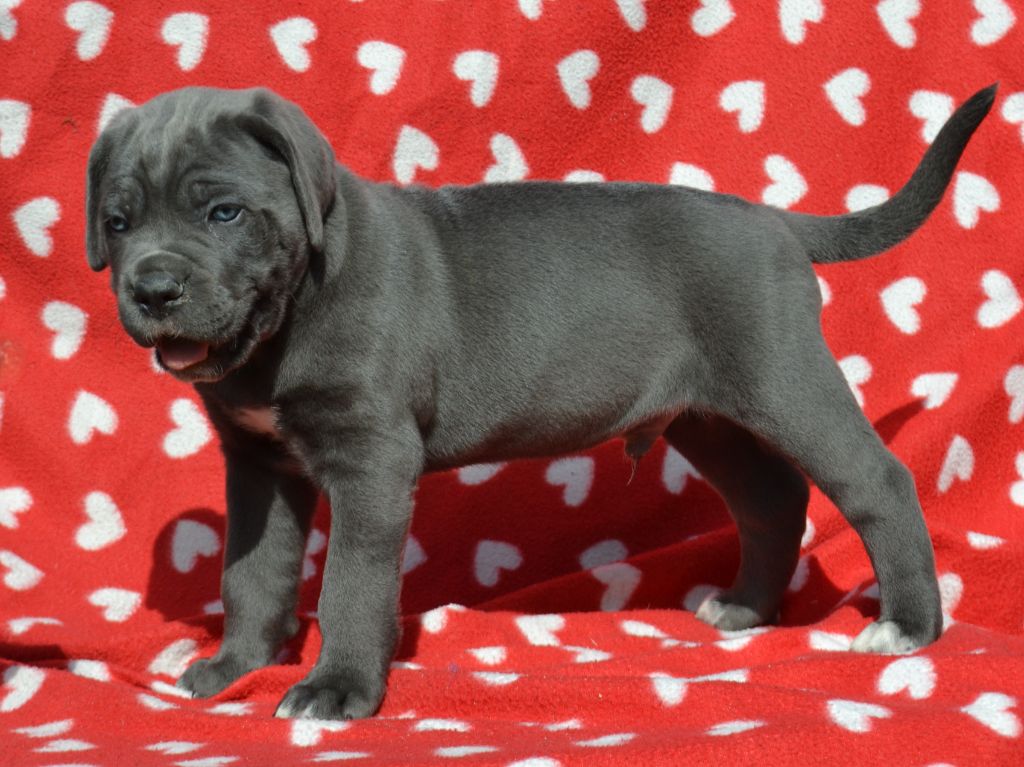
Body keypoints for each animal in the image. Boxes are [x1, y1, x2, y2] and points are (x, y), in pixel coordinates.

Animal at [85, 83, 996, 719]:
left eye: (224, 212)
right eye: (119, 221)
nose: (154, 289)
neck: (295, 305)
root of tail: (771, 220)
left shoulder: (371, 459)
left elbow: (350, 578)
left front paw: (336, 688)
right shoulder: (260, 464)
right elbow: (252, 569)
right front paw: (236, 665)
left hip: (783, 376)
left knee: (877, 480)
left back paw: (910, 627)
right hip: (707, 415)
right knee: (772, 495)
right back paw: (746, 606)